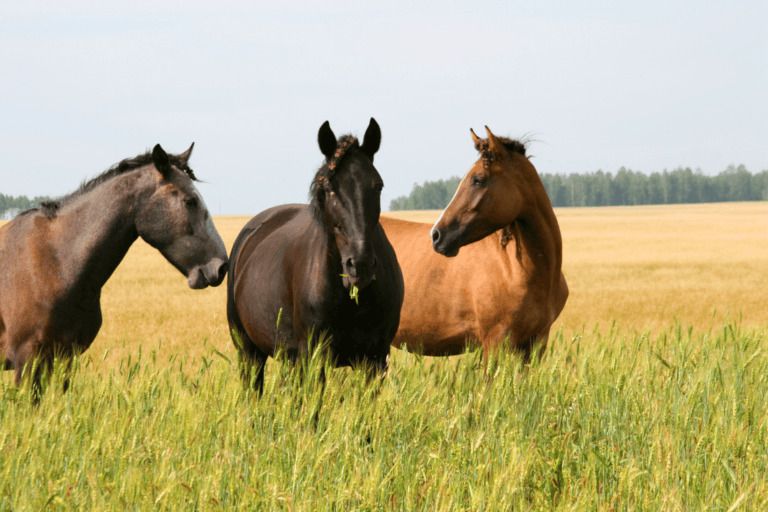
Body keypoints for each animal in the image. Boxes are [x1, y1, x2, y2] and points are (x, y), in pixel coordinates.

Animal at [227, 118, 404, 394]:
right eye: (329, 188)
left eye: (378, 185)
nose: (360, 265)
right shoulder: (313, 356)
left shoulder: (375, 359)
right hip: (249, 352)